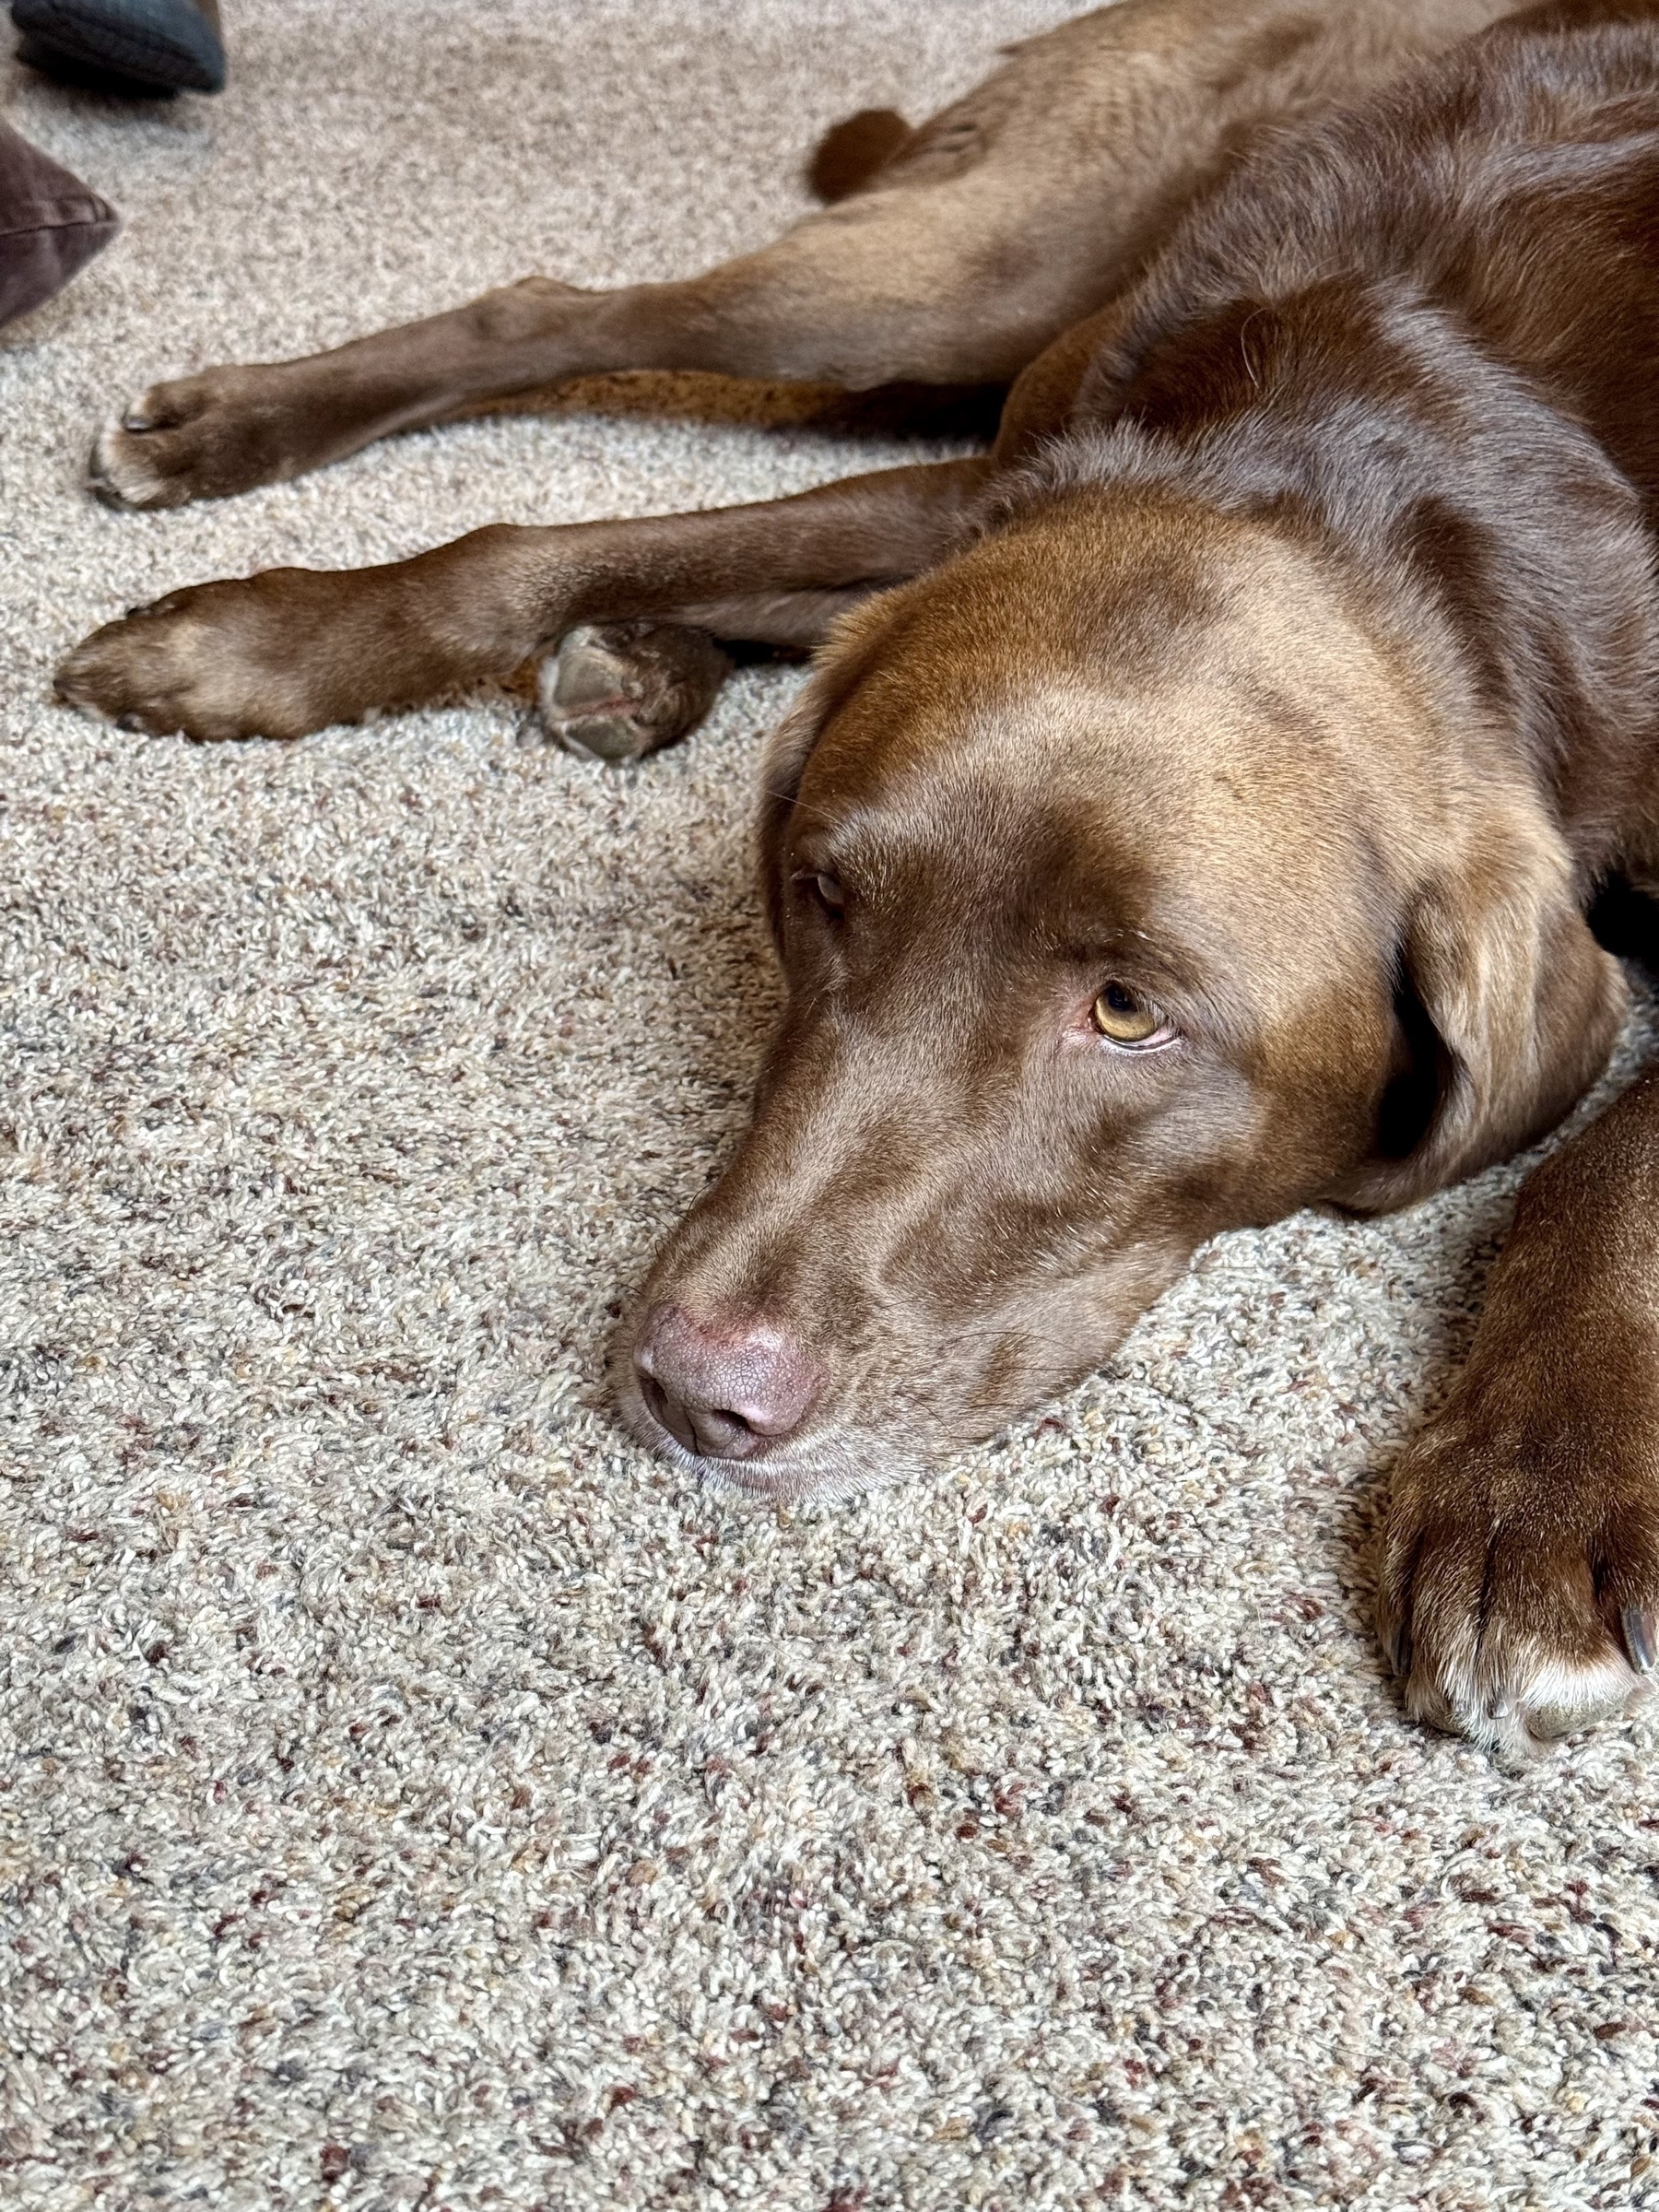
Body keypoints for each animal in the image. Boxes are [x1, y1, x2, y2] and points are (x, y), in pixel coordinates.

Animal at [52, 0, 1659, 1760]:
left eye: (1127, 1013)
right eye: (827, 895)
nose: (696, 1392)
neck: (1412, 478)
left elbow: (1607, 1161)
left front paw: (1531, 1499)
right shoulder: (1007, 486)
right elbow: (539, 549)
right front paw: (241, 644)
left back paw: (638, 666)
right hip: (987, 266)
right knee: (569, 313)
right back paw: (239, 437)